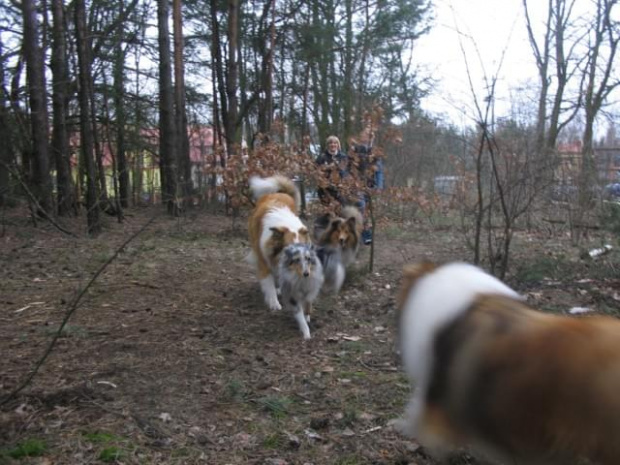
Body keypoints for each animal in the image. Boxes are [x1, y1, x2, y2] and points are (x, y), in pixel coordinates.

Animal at [245, 176, 308, 310]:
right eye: (289, 249)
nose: (303, 273)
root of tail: (280, 193)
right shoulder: (264, 259)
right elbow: (269, 283)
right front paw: (274, 303)